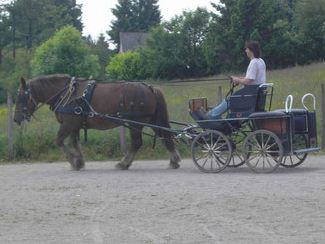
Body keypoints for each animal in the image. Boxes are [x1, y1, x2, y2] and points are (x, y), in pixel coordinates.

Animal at [13, 73, 180, 171]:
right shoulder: (74, 125)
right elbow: (75, 143)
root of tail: (150, 88)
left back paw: (124, 163)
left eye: (21, 96)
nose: (16, 118)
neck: (67, 94)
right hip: (153, 120)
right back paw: (174, 160)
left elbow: (59, 141)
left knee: (137, 143)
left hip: (135, 123)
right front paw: (79, 161)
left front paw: (74, 162)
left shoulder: (68, 124)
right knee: (165, 136)